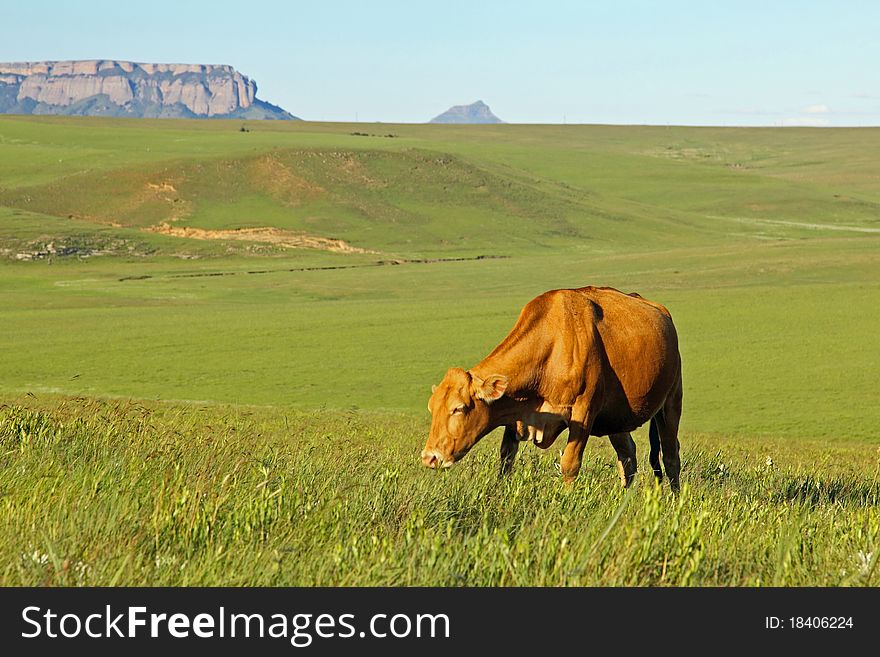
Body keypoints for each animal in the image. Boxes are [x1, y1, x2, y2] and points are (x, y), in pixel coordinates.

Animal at [422, 284, 684, 490]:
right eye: (432, 409)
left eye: (458, 408)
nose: (429, 457)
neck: (552, 347)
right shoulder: (516, 416)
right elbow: (506, 461)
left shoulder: (584, 412)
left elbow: (569, 465)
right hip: (617, 418)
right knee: (628, 456)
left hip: (671, 401)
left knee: (671, 457)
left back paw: (673, 499)